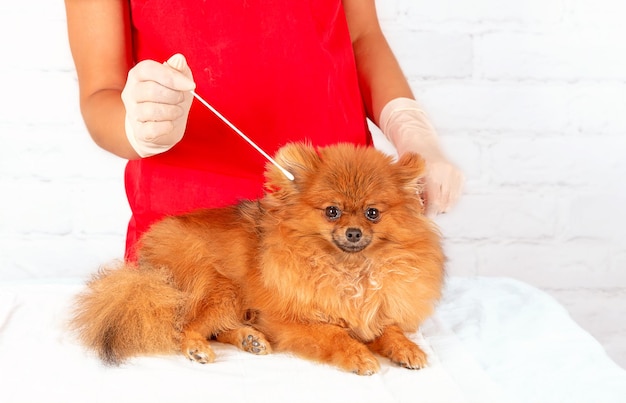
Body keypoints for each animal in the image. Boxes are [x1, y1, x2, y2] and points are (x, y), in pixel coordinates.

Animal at [72, 143, 444, 376]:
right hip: (222, 288)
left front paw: (407, 347)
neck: (349, 269)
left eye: (372, 214)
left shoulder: (371, 312)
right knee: (184, 327)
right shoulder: (289, 319)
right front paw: (357, 355)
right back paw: (198, 348)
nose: (353, 232)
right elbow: (334, 335)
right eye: (332, 212)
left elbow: (389, 329)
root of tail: (146, 266)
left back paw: (249, 340)